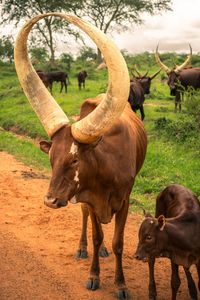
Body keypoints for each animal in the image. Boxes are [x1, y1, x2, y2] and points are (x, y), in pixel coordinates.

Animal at [14, 12, 147, 298]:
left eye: (74, 159)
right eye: (50, 158)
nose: (50, 201)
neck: (106, 166)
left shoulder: (125, 200)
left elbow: (119, 242)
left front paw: (121, 284)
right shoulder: (90, 197)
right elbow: (97, 235)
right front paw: (94, 275)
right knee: (87, 220)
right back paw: (83, 248)